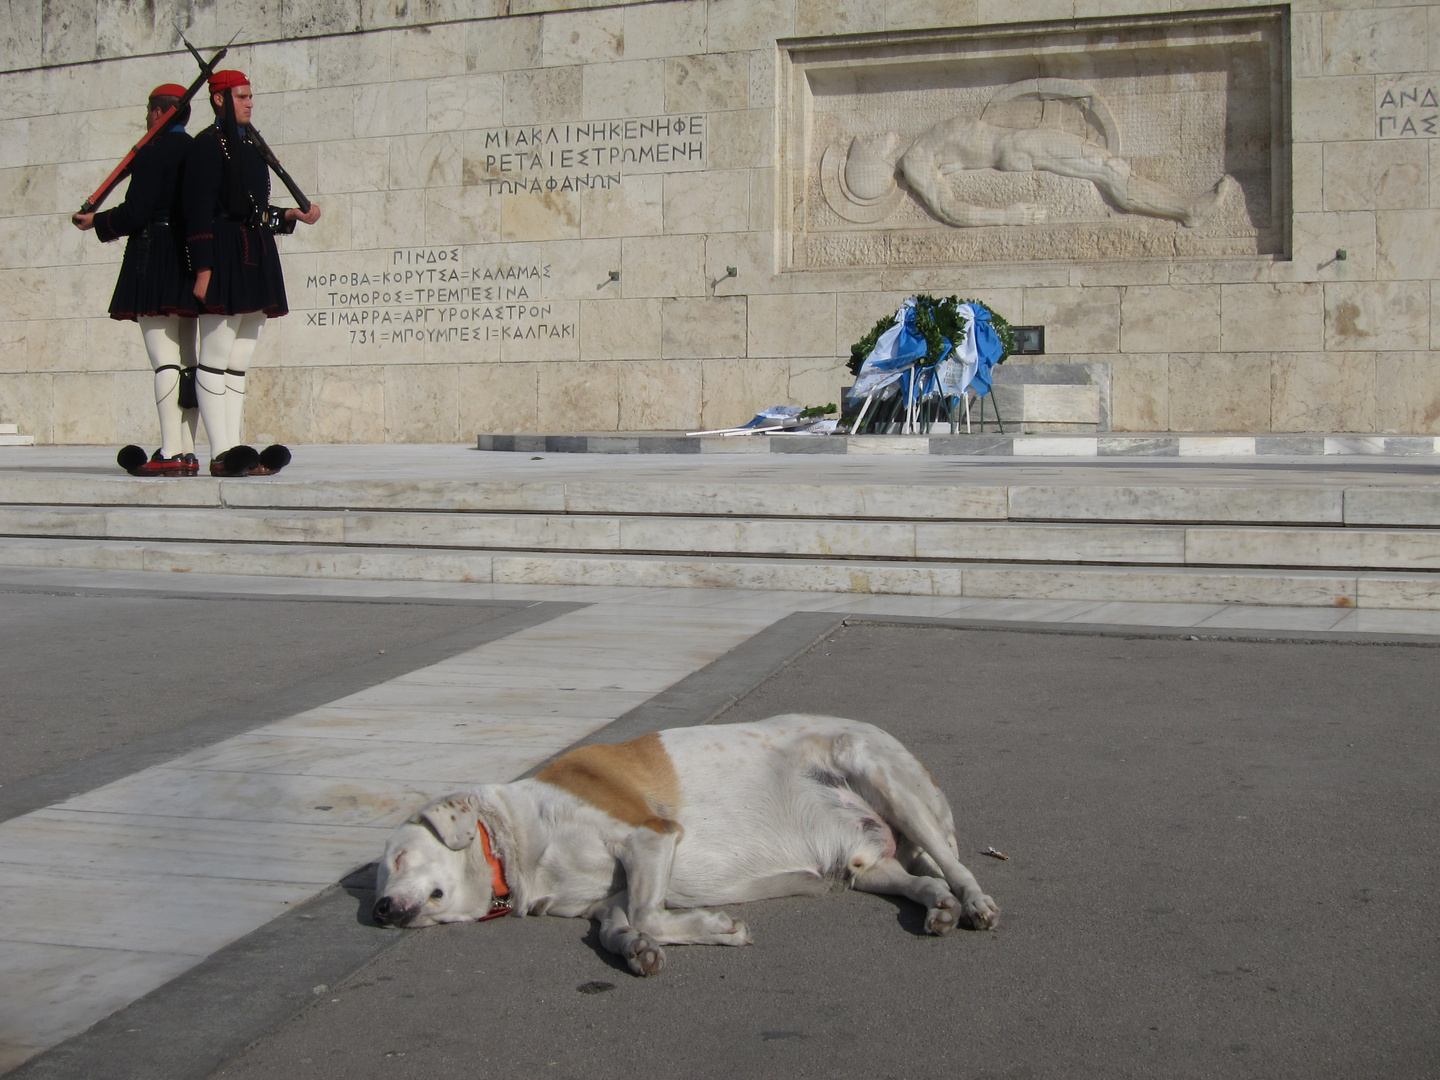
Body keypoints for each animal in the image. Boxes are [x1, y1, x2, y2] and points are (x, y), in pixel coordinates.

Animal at [374, 714, 1002, 979]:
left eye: (397, 860)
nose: (379, 910)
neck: (519, 842)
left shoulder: (649, 837)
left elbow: (651, 912)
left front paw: (716, 929)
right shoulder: (608, 900)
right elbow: (619, 925)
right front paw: (637, 951)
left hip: (877, 772)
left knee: (957, 868)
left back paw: (974, 903)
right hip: (866, 861)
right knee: (923, 879)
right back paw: (940, 907)